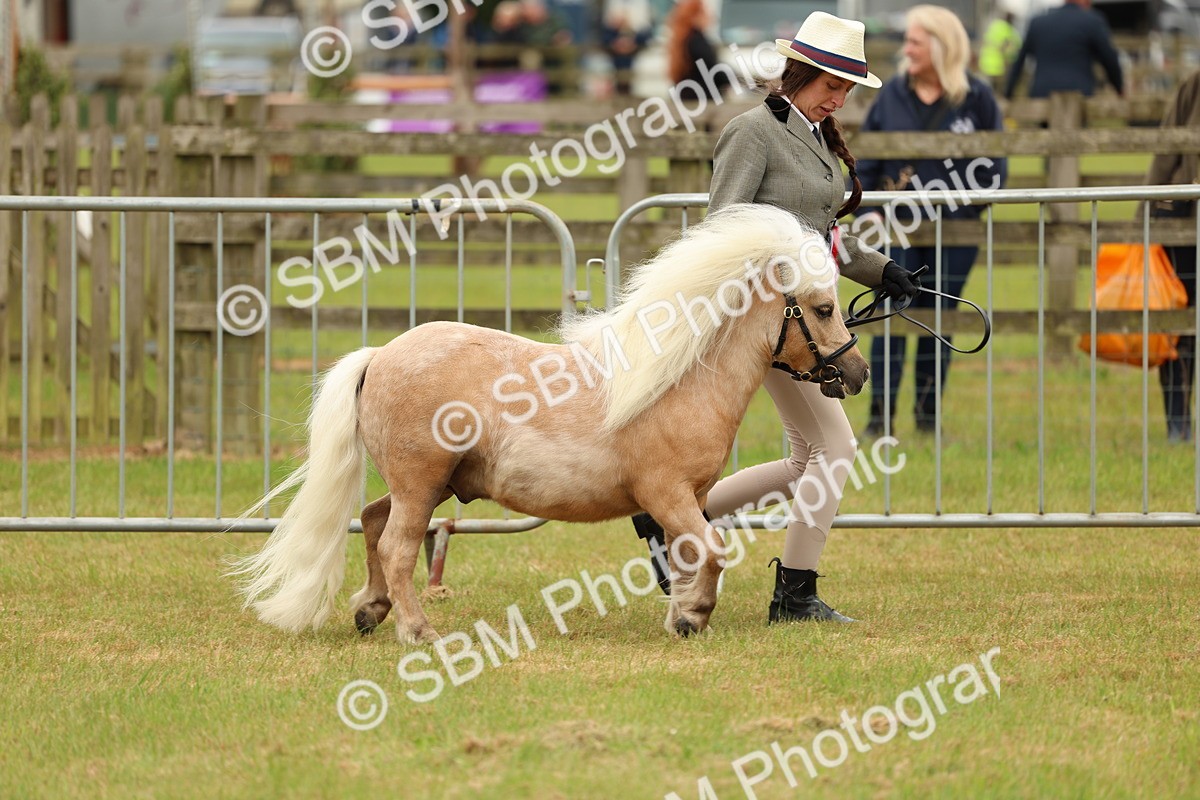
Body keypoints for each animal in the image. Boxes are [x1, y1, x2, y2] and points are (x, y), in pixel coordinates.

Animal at [230, 203, 870, 644]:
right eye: (822, 309)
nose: (856, 373)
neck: (680, 380)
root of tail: (381, 355)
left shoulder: (691, 497)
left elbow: (694, 553)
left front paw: (681, 613)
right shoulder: (665, 493)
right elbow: (711, 550)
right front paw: (691, 617)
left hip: (427, 485)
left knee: (369, 520)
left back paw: (371, 610)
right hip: (419, 484)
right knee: (396, 547)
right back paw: (418, 631)